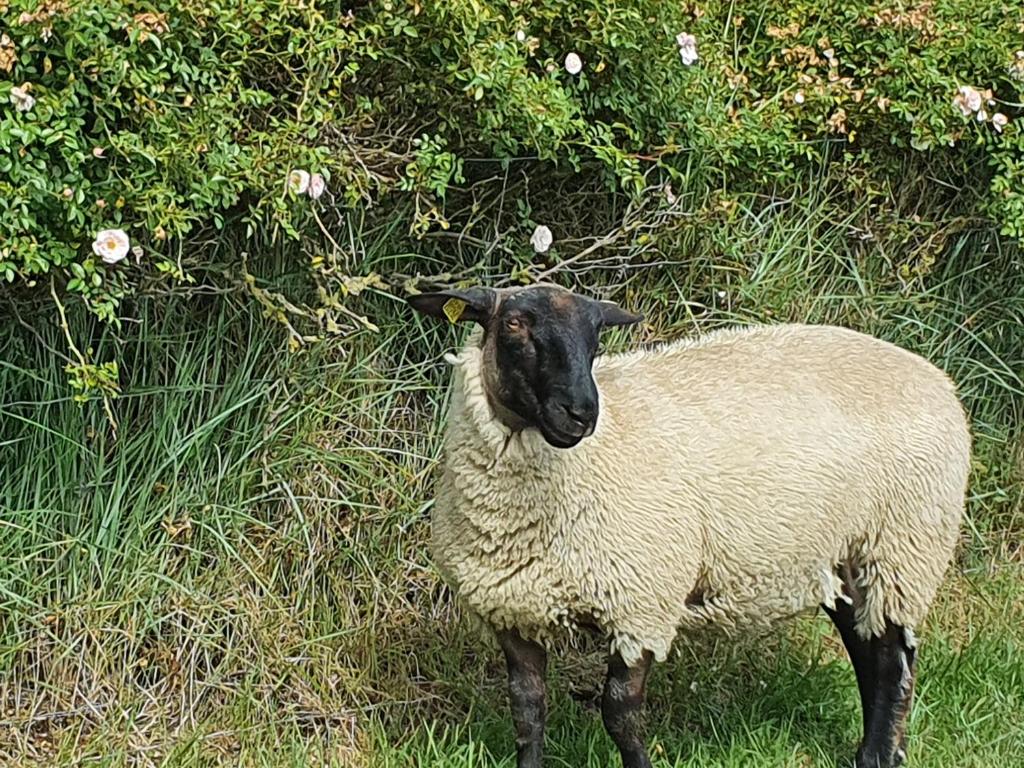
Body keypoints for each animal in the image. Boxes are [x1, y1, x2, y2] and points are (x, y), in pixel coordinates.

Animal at [405, 282, 966, 768]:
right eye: (515, 324)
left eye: (596, 337)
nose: (581, 413)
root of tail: (934, 375)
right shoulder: (513, 610)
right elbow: (527, 710)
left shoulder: (641, 602)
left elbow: (620, 713)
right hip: (848, 554)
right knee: (869, 653)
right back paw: (871, 752)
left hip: (901, 546)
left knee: (893, 663)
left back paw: (879, 756)